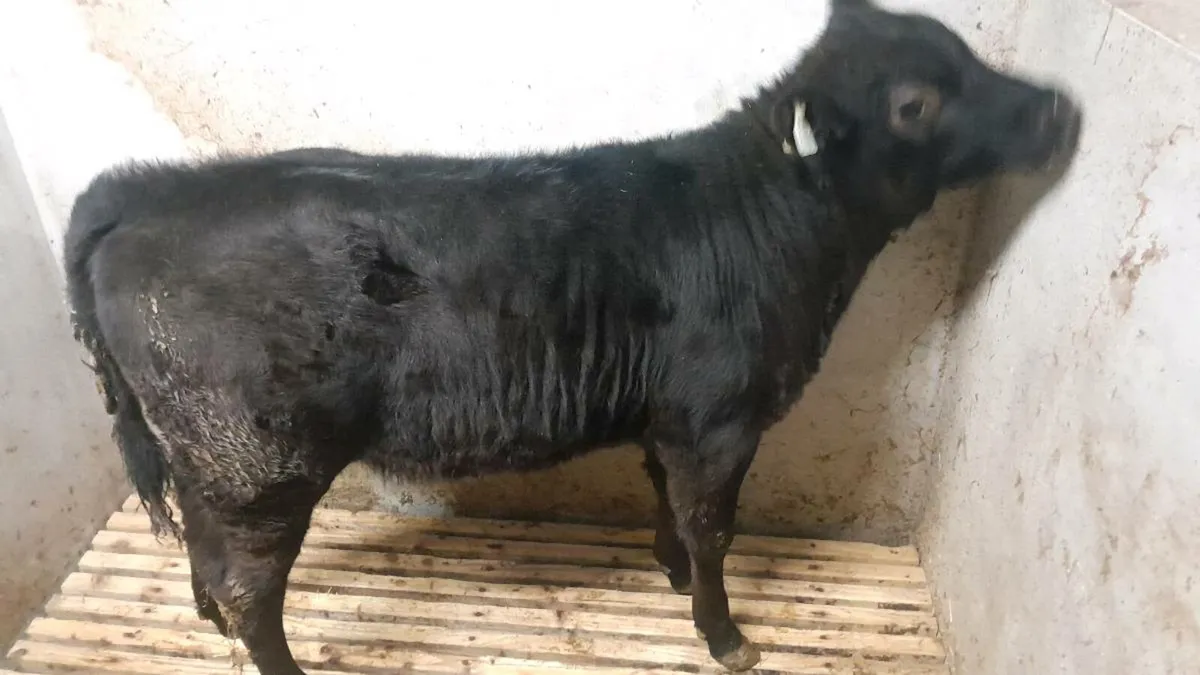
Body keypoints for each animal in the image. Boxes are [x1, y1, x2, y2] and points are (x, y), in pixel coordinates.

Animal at [63, 0, 1081, 672]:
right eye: (916, 104)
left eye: (966, 52)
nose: (1061, 110)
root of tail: (148, 189)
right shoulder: (721, 418)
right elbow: (714, 525)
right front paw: (724, 633)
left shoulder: (672, 417)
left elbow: (669, 502)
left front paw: (671, 575)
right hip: (258, 461)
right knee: (250, 582)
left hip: (206, 457)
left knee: (206, 551)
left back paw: (209, 625)